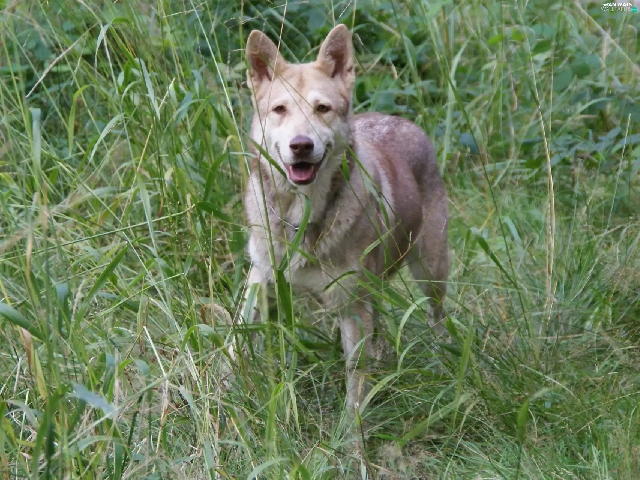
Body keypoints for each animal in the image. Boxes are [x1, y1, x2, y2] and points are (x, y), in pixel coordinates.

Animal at [241, 24, 449, 419]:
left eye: (322, 108)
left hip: (430, 272)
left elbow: (355, 386)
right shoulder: (261, 278)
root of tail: (400, 119)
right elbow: (238, 340)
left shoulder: (351, 308)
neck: (302, 219)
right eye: (279, 109)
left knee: (436, 315)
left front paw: (352, 435)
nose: (301, 145)